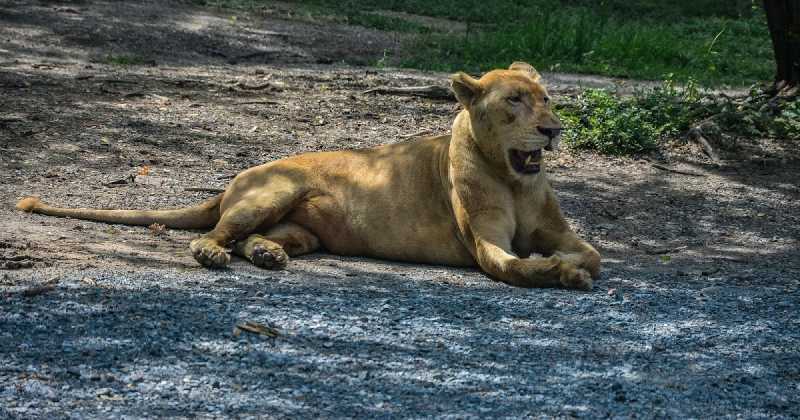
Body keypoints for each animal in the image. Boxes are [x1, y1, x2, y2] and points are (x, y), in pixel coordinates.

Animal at [16, 62, 601, 289]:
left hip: (303, 228)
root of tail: (232, 181)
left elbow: (591, 253)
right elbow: (517, 265)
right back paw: (213, 254)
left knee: (254, 239)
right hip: (276, 190)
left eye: (547, 99)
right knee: (217, 234)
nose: (553, 130)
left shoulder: (556, 229)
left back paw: (267, 255)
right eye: (513, 102)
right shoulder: (484, 245)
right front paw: (558, 271)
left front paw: (572, 264)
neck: (515, 179)